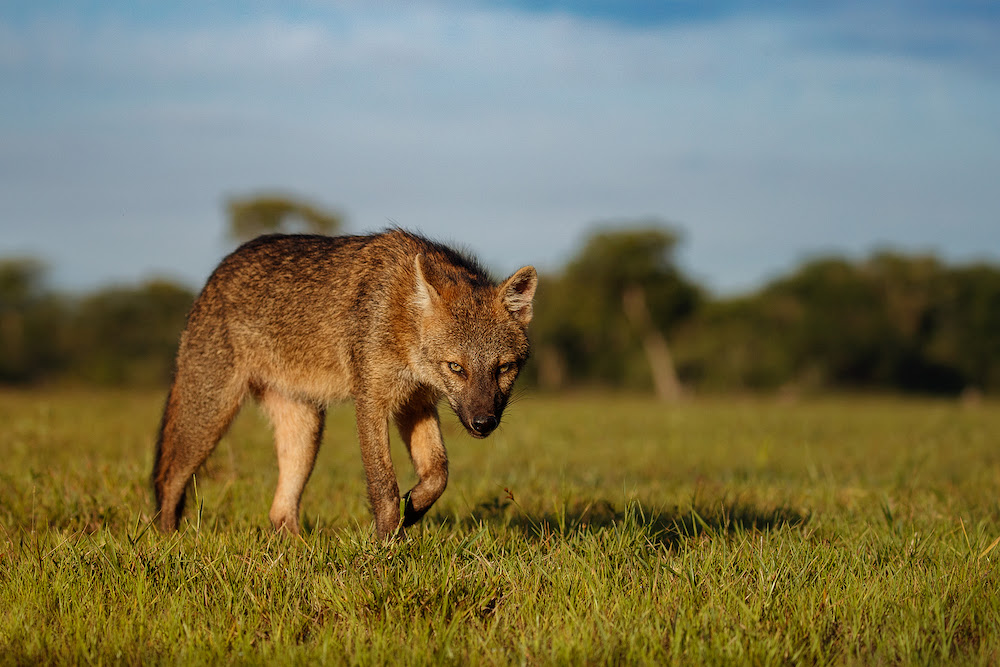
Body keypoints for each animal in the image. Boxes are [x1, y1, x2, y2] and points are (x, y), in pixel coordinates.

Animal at [152, 229, 537, 540]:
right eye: (457, 367)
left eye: (503, 368)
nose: (483, 423)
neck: (400, 313)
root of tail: (215, 275)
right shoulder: (371, 400)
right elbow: (384, 486)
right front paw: (387, 548)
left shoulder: (415, 402)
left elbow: (437, 474)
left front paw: (412, 510)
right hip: (209, 419)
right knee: (169, 479)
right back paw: (170, 543)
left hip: (306, 431)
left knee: (279, 512)